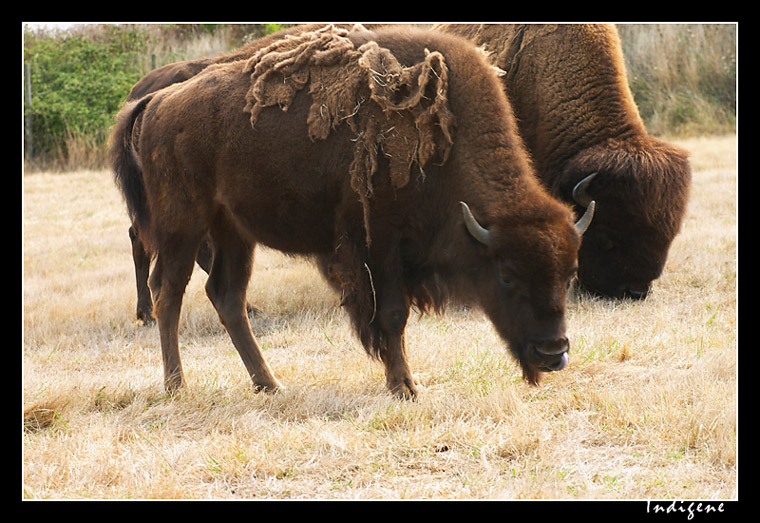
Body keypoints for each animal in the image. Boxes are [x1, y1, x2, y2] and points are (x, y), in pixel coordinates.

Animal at [110, 26, 592, 400]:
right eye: (507, 275)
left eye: (570, 274)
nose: (553, 353)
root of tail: (159, 100)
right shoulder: (379, 244)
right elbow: (392, 316)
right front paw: (405, 387)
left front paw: (405, 382)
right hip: (183, 223)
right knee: (168, 291)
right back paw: (177, 385)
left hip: (233, 231)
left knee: (227, 296)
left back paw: (270, 384)